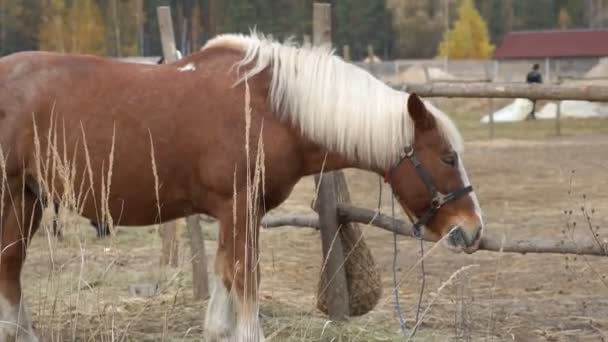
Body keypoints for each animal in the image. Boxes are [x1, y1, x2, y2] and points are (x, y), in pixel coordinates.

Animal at [0, 32, 484, 342]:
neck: (272, 109)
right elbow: (245, 286)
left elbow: (223, 284)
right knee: (9, 267)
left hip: (30, 200)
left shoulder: (231, 212)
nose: (473, 230)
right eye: (448, 157)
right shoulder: (240, 208)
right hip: (13, 199)